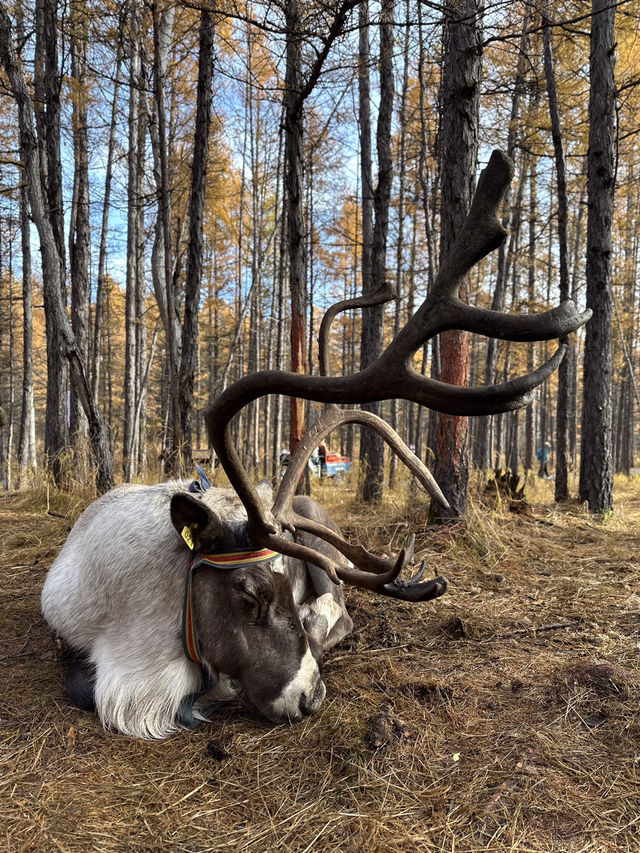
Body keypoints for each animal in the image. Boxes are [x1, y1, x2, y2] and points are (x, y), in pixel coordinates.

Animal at [41, 150, 590, 739]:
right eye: (248, 593)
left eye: (288, 582)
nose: (311, 698)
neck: (135, 632)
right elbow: (80, 684)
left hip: (321, 538)